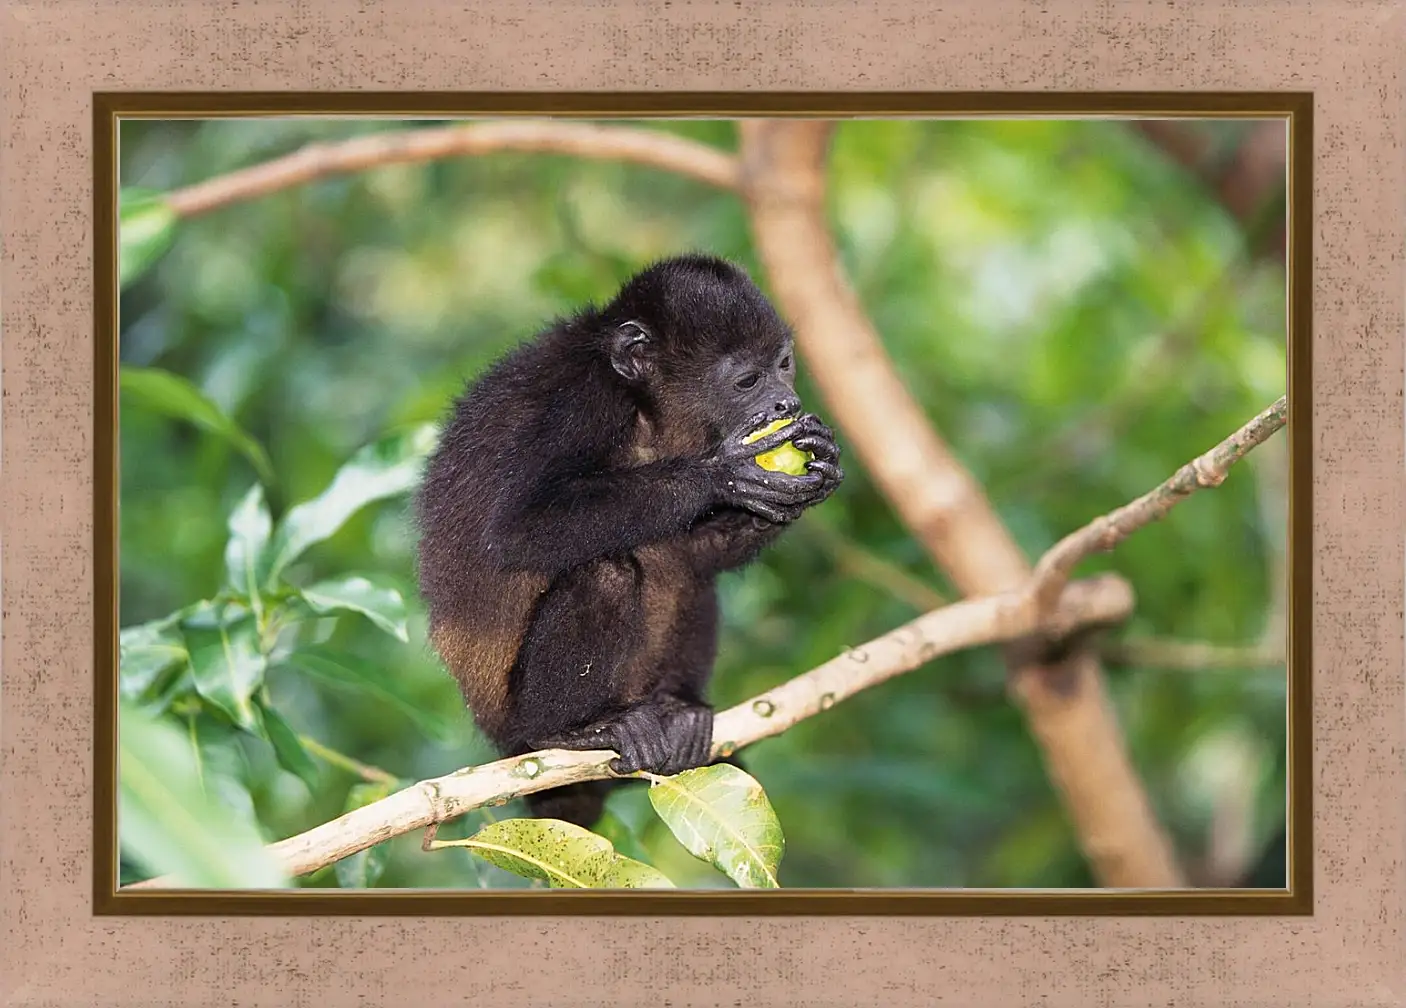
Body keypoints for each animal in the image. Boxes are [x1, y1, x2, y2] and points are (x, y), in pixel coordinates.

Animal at [410, 251, 837, 826]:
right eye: (748, 380)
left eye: (784, 364)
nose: (785, 404)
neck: (647, 409)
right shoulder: (582, 401)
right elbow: (515, 530)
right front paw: (723, 474)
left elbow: (694, 553)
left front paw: (817, 473)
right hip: (512, 722)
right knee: (605, 573)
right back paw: (570, 731)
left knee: (686, 575)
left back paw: (677, 711)